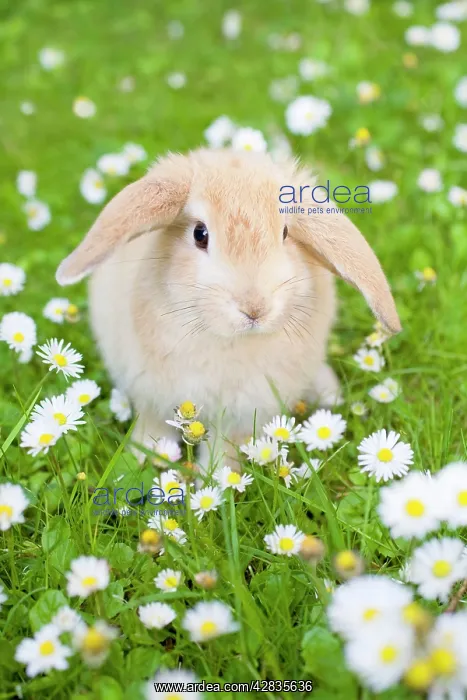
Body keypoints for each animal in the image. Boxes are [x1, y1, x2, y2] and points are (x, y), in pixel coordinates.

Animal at [56, 148, 400, 469]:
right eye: (200, 233)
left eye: (285, 233)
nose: (255, 309)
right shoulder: (150, 390)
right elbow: (152, 425)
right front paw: (147, 456)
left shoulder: (243, 413)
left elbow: (225, 449)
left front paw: (217, 477)